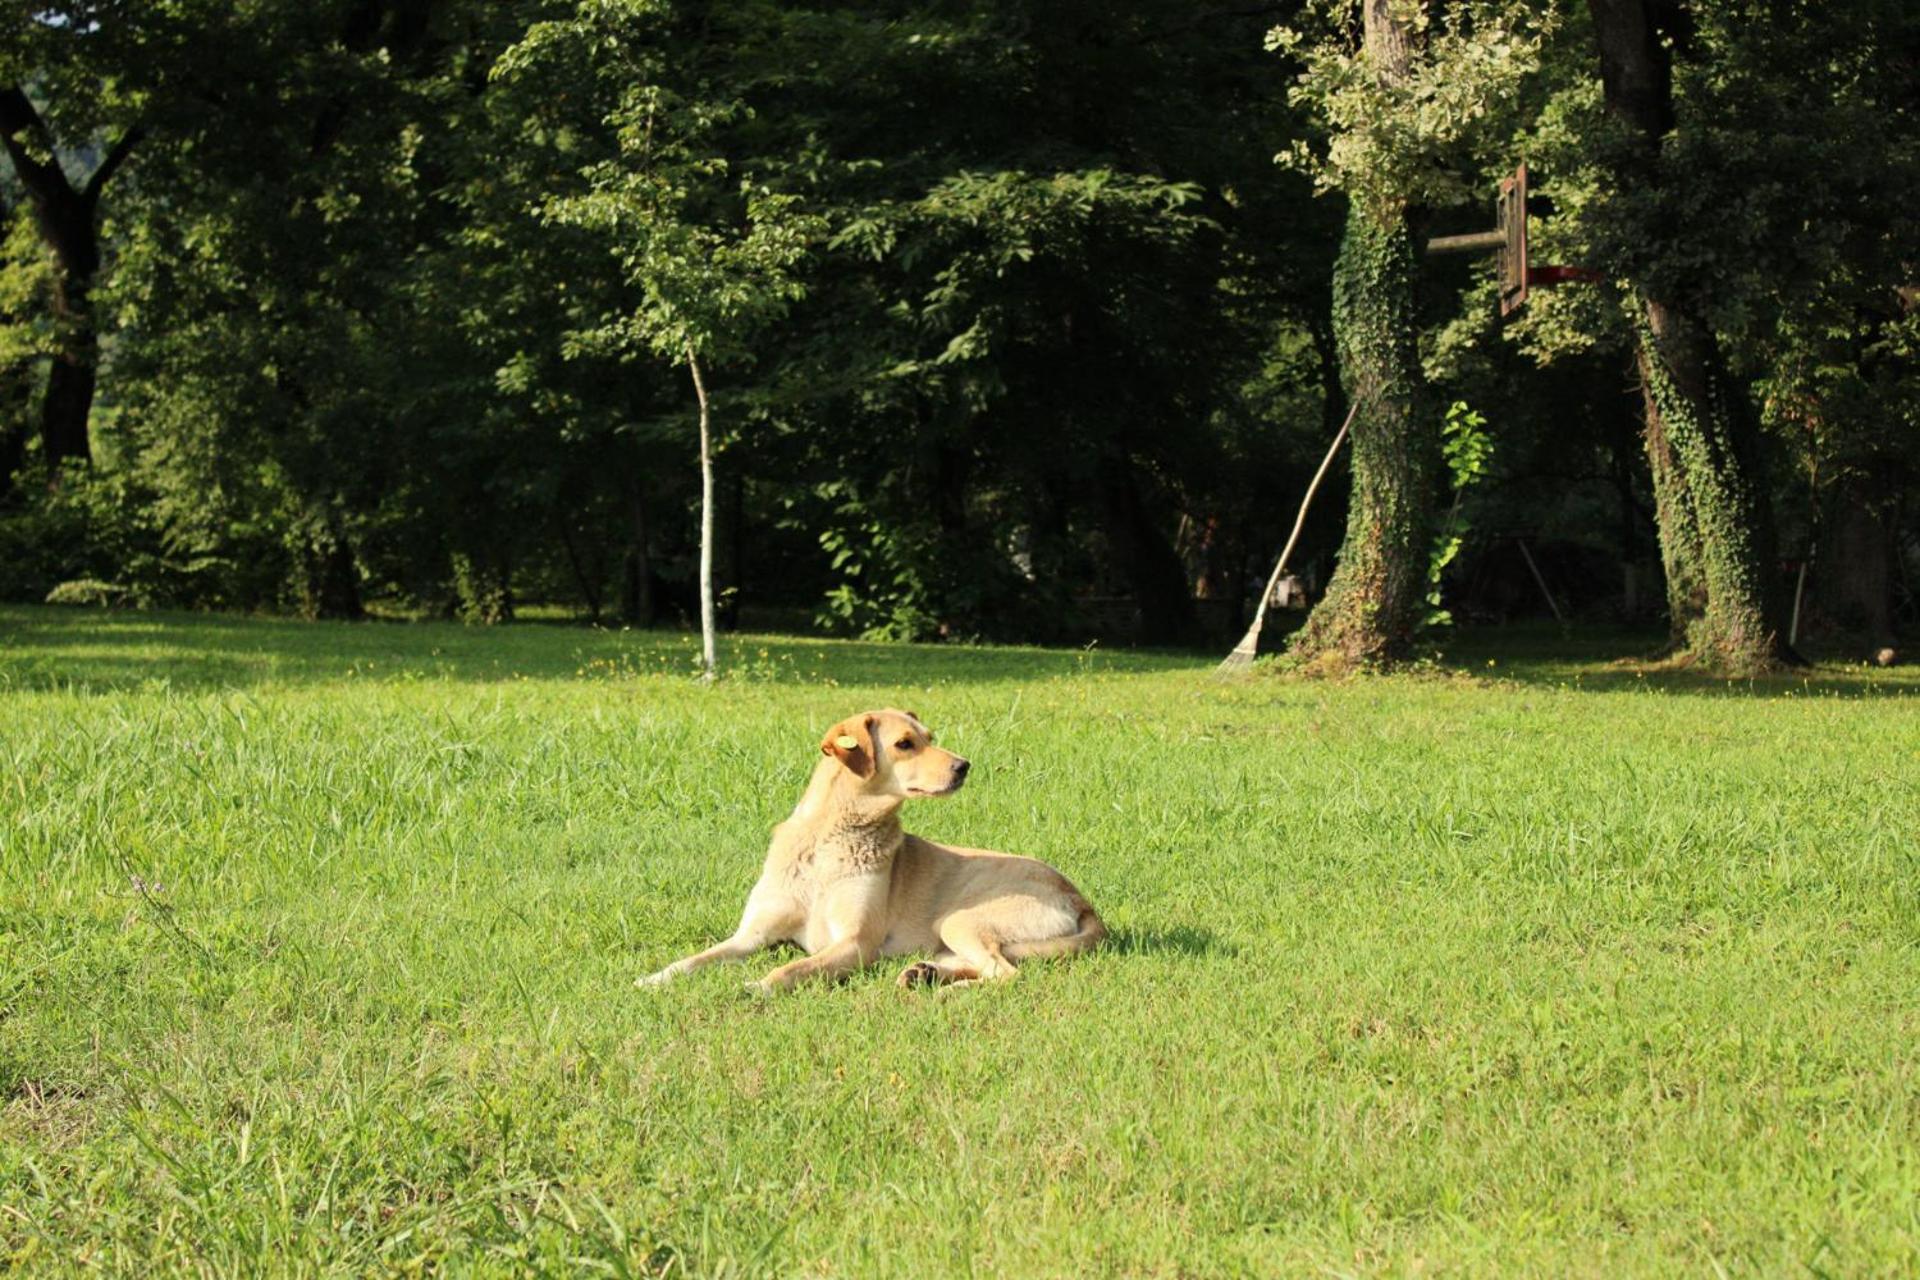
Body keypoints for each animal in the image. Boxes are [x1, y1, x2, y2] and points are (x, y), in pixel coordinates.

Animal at [637, 710, 1105, 990]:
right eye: (905, 744)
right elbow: (694, 960)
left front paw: (759, 987)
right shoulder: (750, 936)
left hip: (958, 918)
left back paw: (948, 990)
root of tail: (1082, 900)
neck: (830, 842)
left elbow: (791, 968)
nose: (964, 766)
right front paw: (652, 980)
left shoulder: (854, 944)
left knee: (1005, 973)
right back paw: (924, 974)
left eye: (929, 738)